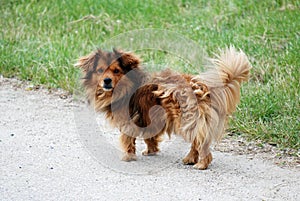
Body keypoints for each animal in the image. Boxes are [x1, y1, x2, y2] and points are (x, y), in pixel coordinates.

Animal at [75, 46, 251, 170]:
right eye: (100, 70)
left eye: (116, 71)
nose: (106, 81)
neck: (125, 86)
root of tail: (204, 88)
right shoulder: (148, 118)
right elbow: (150, 137)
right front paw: (151, 151)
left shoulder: (128, 120)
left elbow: (128, 140)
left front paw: (128, 156)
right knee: (197, 140)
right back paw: (190, 159)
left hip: (187, 120)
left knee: (201, 141)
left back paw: (201, 164)